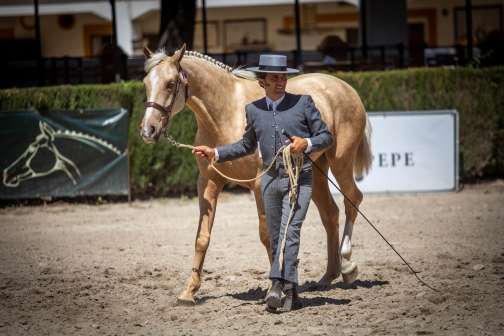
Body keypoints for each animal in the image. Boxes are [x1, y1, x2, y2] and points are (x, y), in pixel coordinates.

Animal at [141, 43, 370, 306]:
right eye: (145, 83)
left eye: (170, 83)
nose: (148, 130)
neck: (227, 112)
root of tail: (345, 87)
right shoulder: (208, 182)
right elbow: (202, 237)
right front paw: (189, 292)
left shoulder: (261, 185)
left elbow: (267, 234)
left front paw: (274, 288)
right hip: (316, 172)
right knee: (330, 214)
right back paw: (327, 277)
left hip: (340, 162)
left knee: (353, 200)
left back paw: (347, 266)